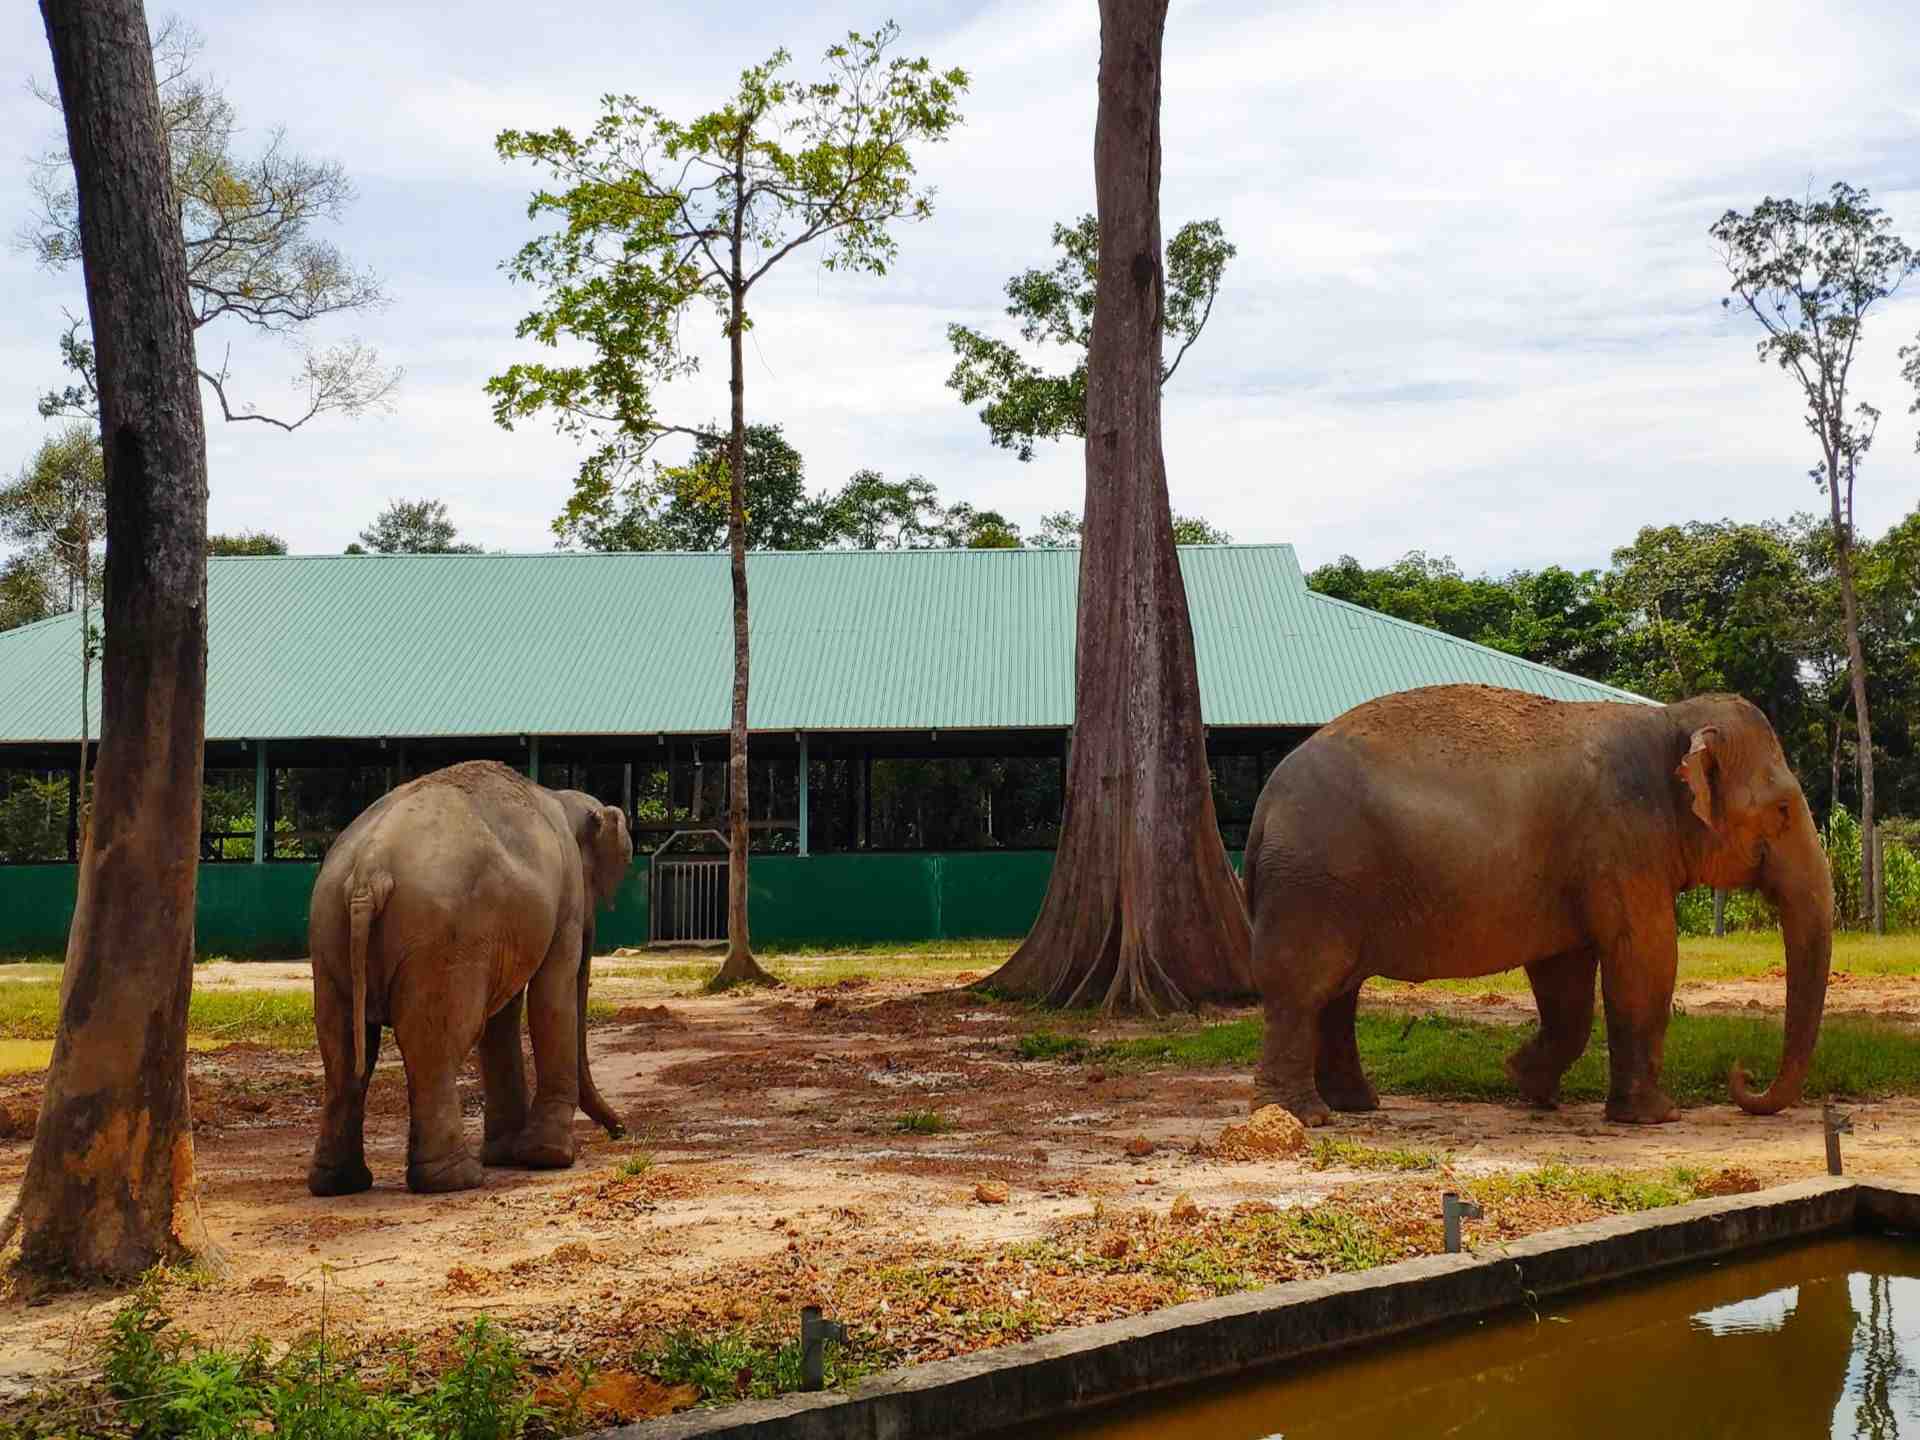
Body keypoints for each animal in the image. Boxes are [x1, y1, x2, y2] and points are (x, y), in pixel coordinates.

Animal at [299, 760, 629, 1198]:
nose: (621, 1130)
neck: (560, 797)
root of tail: (370, 868)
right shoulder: (567, 901)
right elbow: (550, 995)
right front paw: (549, 1157)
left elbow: (505, 1015)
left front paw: (508, 1155)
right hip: (442, 940)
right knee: (437, 1043)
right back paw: (457, 1178)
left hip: (328, 933)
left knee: (342, 1049)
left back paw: (339, 1183)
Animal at [1244, 683, 1827, 1136]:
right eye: (1782, 810)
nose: (1742, 1078)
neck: (1669, 719)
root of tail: (1265, 803)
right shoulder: (1623, 844)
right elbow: (1645, 961)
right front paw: (1657, 1117)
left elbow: (1565, 977)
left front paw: (1527, 1086)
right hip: (1313, 885)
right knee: (1303, 990)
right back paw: (1303, 1118)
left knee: (1337, 993)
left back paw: (1357, 1105)